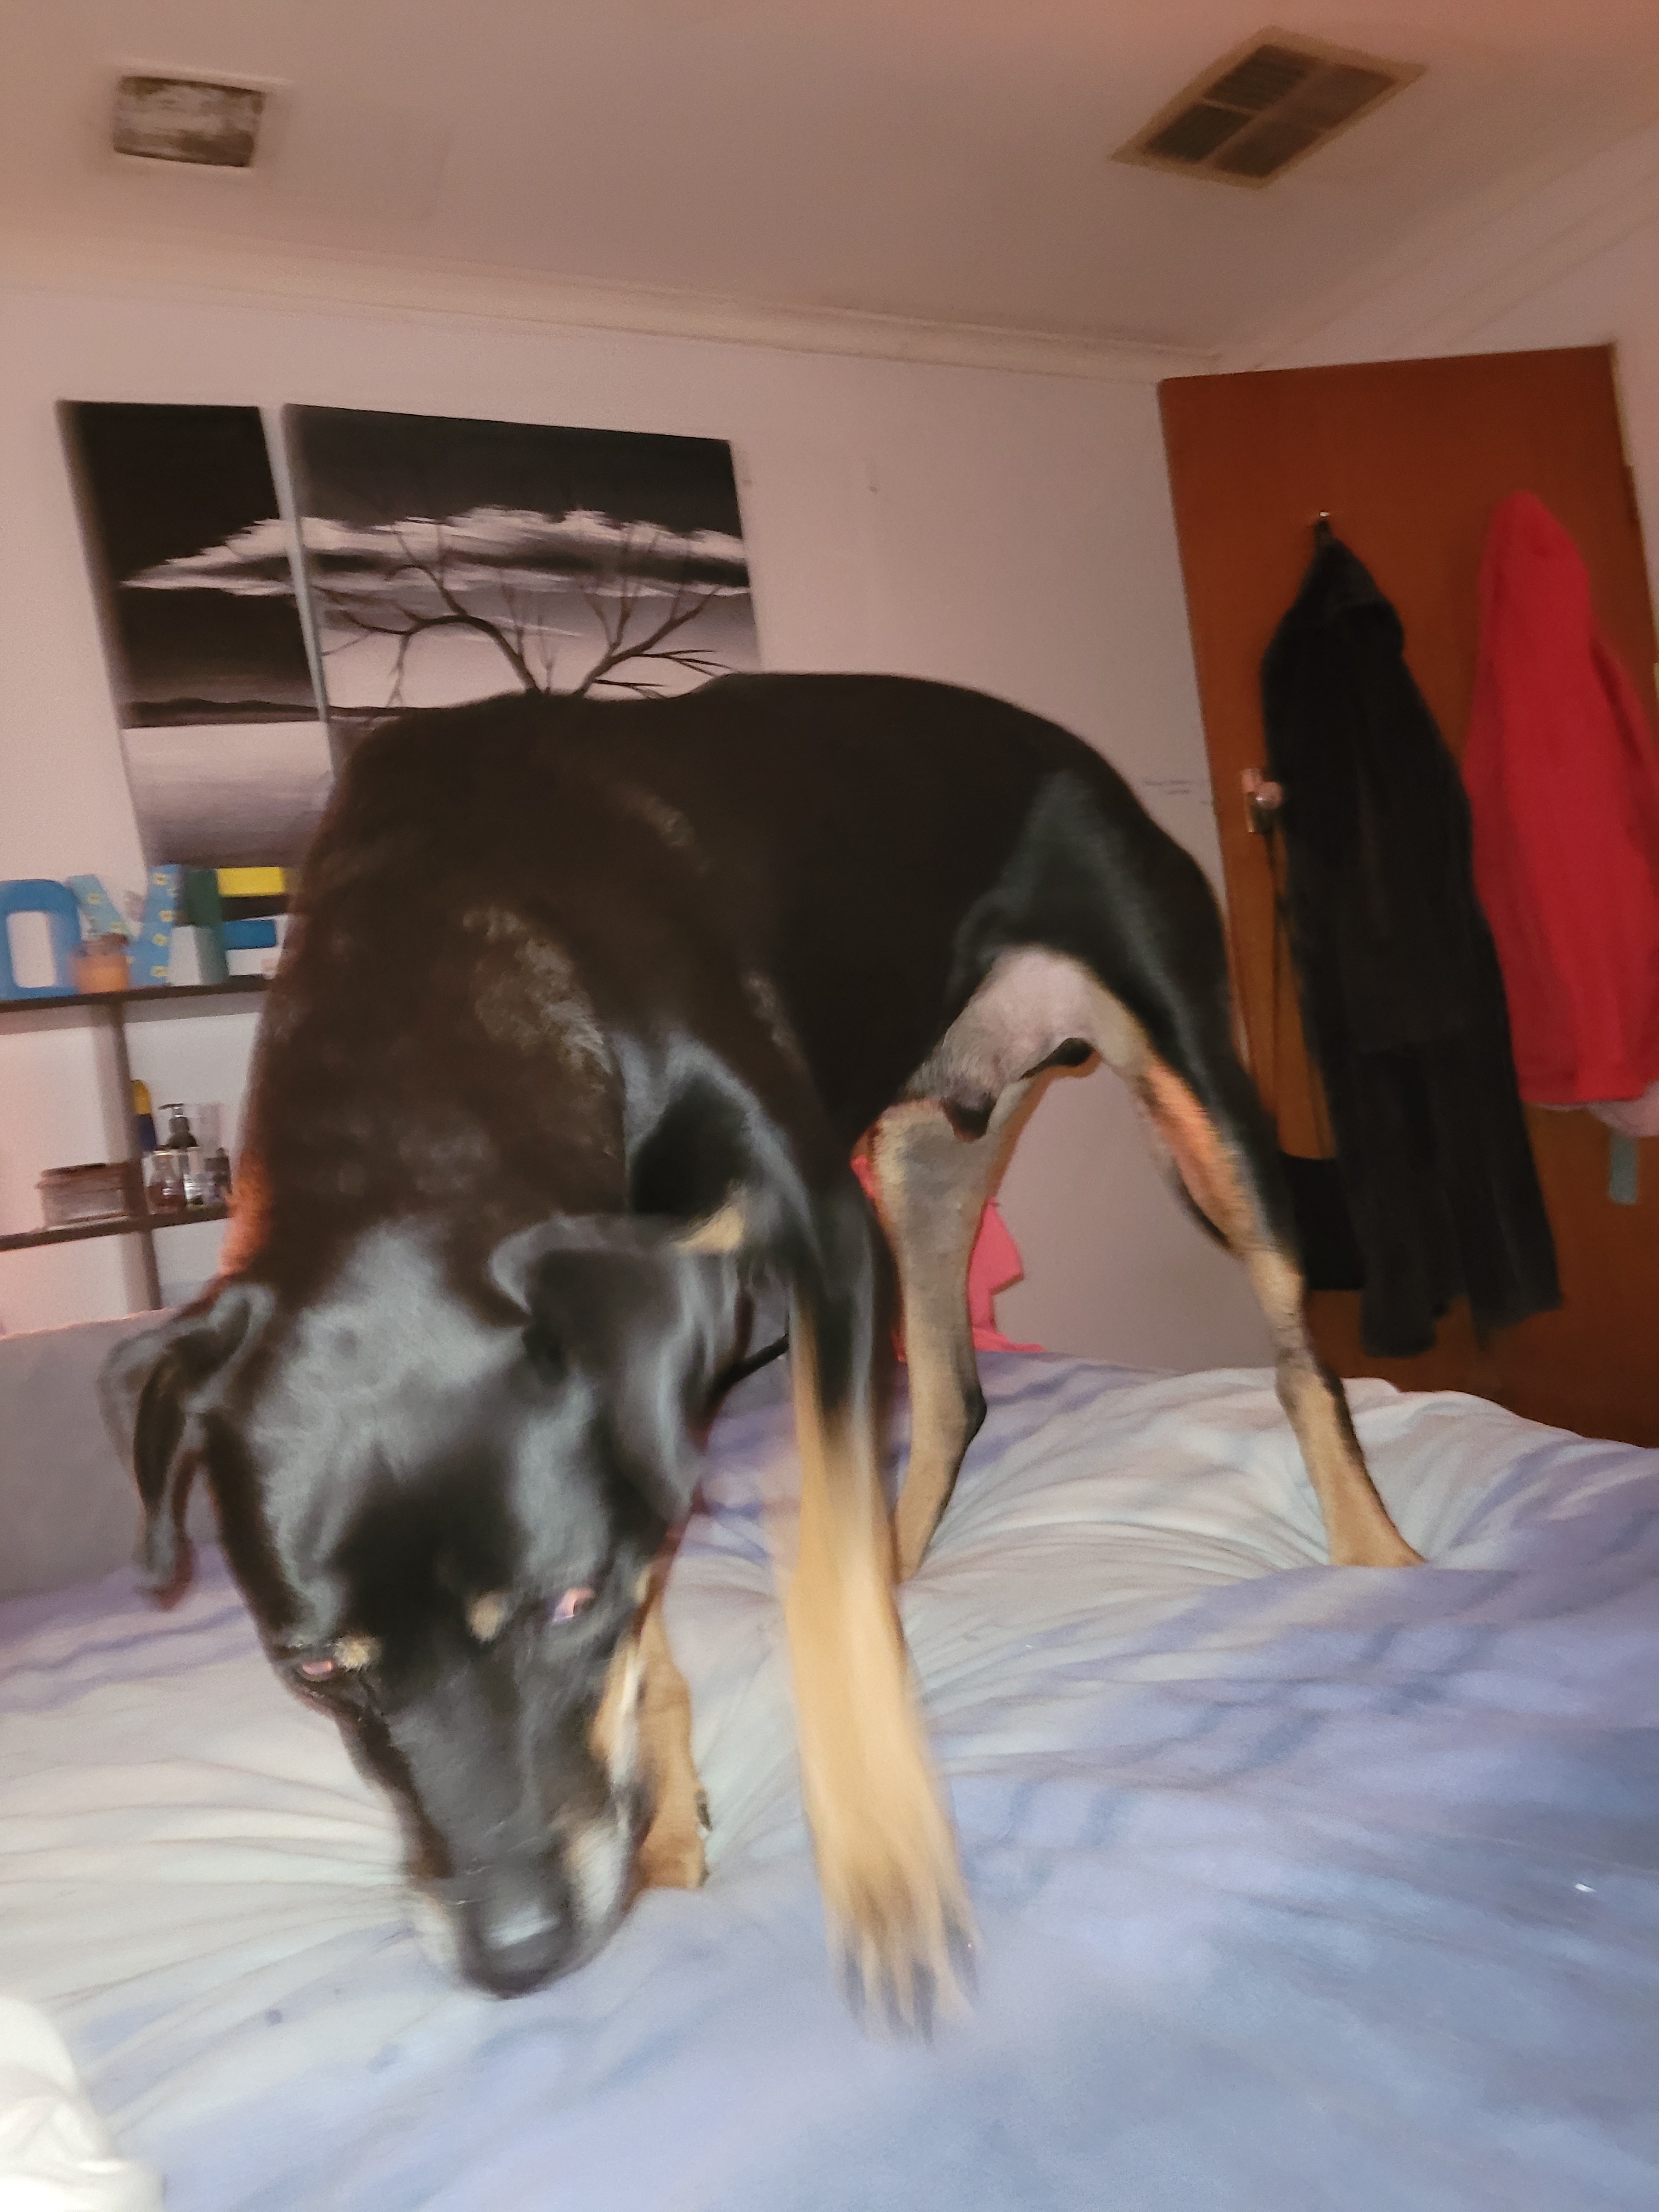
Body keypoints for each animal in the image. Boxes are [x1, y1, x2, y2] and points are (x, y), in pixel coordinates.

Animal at [101, 673, 1419, 2028]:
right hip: (924, 1158)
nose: (519, 1954)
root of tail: (1073, 750)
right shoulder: (641, 1382)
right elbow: (669, 1615)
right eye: (314, 1671)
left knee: (1295, 1356)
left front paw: (884, 1859)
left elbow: (816, 1591)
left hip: (1195, 1101)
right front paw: (668, 1828)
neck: (427, 1015)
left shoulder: (822, 1241)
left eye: (566, 1599)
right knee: (952, 1396)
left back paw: (1379, 1555)